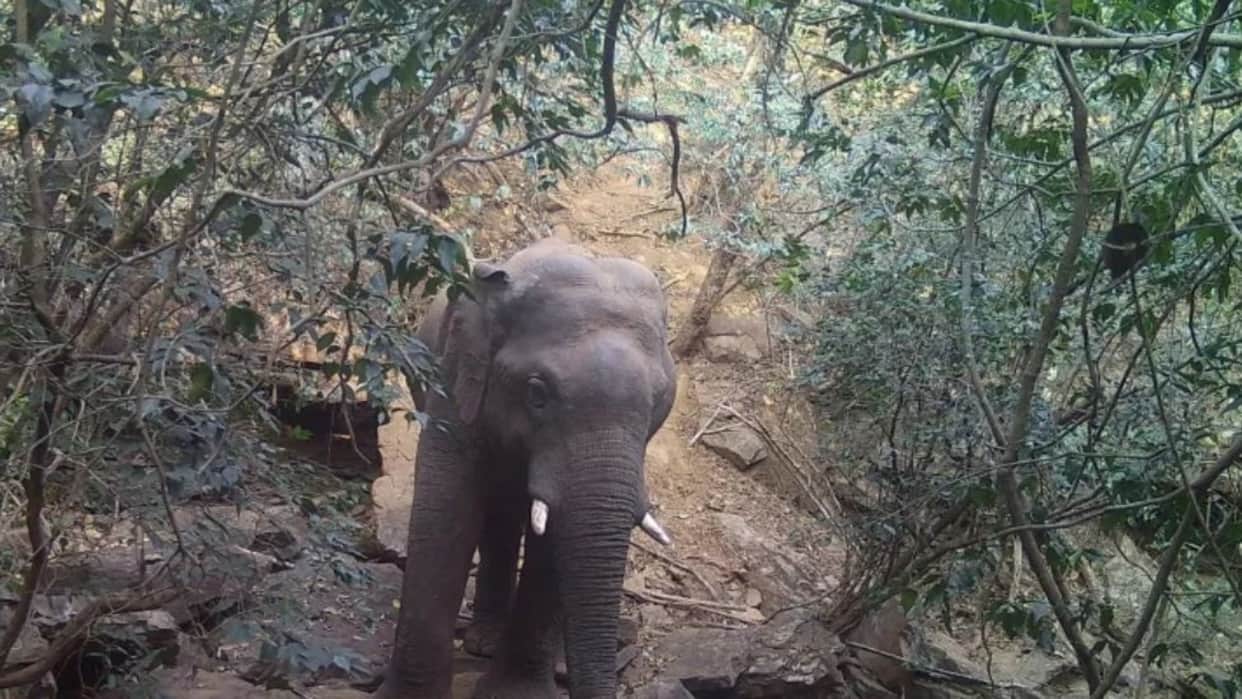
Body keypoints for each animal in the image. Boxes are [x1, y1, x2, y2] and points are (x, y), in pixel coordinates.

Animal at [379, 237, 676, 699]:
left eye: (660, 401)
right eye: (537, 393)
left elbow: (553, 534)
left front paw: (518, 693)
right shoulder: (454, 377)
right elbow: (449, 508)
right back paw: (483, 643)